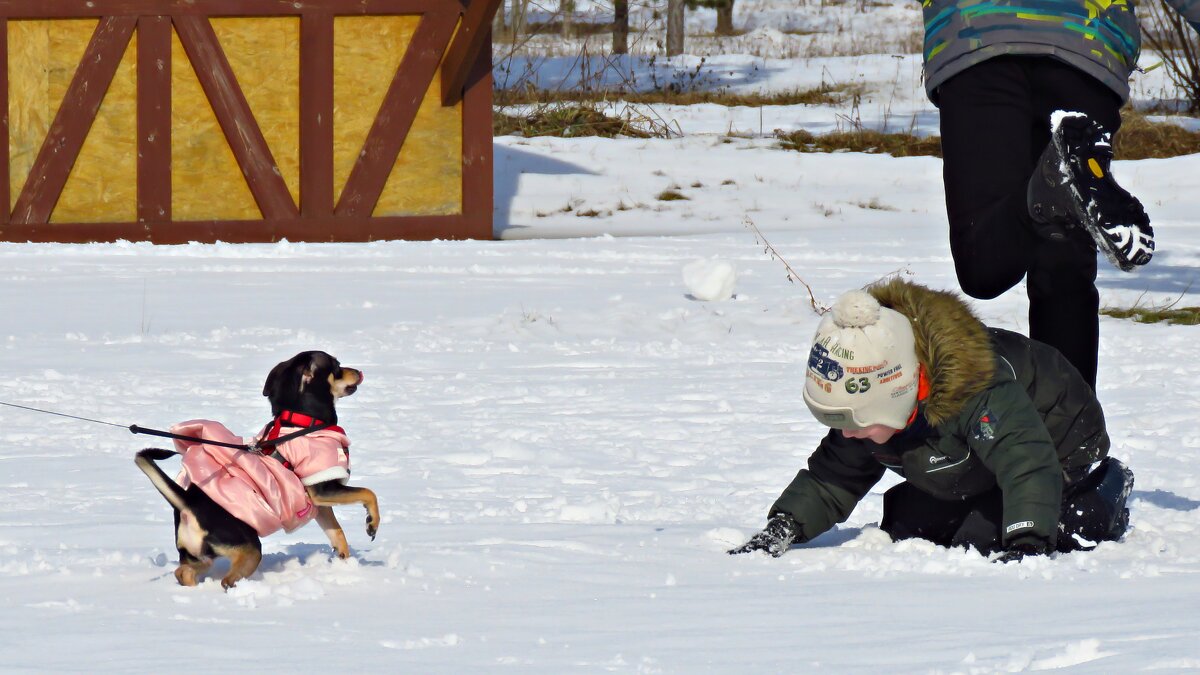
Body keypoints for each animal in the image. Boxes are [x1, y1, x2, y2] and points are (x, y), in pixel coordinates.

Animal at [135, 348, 379, 586]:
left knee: (183, 573)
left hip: (200, 557)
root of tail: (187, 503)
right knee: (226, 580)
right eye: (336, 366)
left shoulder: (319, 503)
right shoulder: (322, 489)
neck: (303, 421)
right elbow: (369, 493)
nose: (358, 371)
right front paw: (372, 523)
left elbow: (337, 532)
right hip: (249, 549)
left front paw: (345, 562)